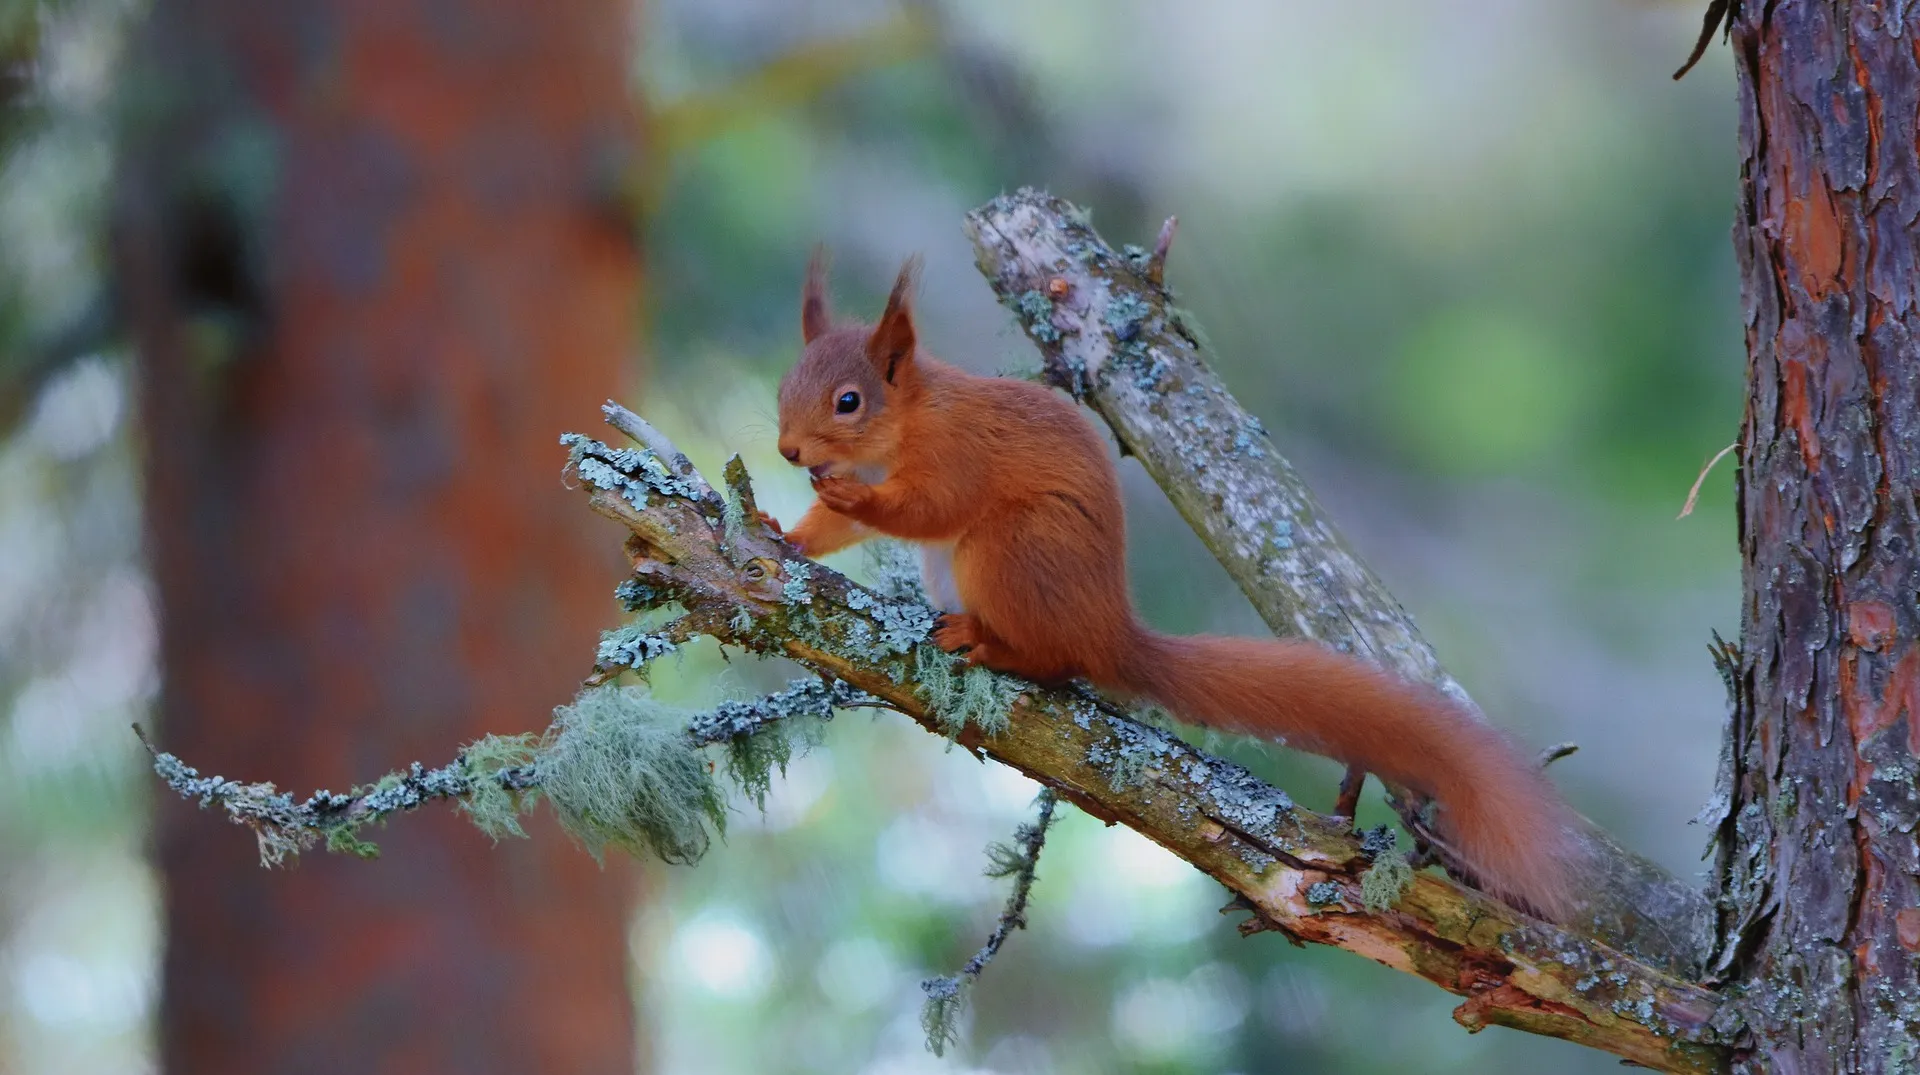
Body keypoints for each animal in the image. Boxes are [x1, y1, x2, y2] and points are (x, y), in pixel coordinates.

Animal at [768, 253, 1585, 922]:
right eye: (783, 387)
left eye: (848, 401)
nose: (789, 451)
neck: (908, 424)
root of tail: (1109, 630)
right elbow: (830, 530)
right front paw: (788, 533)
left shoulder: (956, 455)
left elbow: (928, 508)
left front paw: (856, 500)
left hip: (1010, 551)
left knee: (1054, 659)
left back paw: (993, 643)